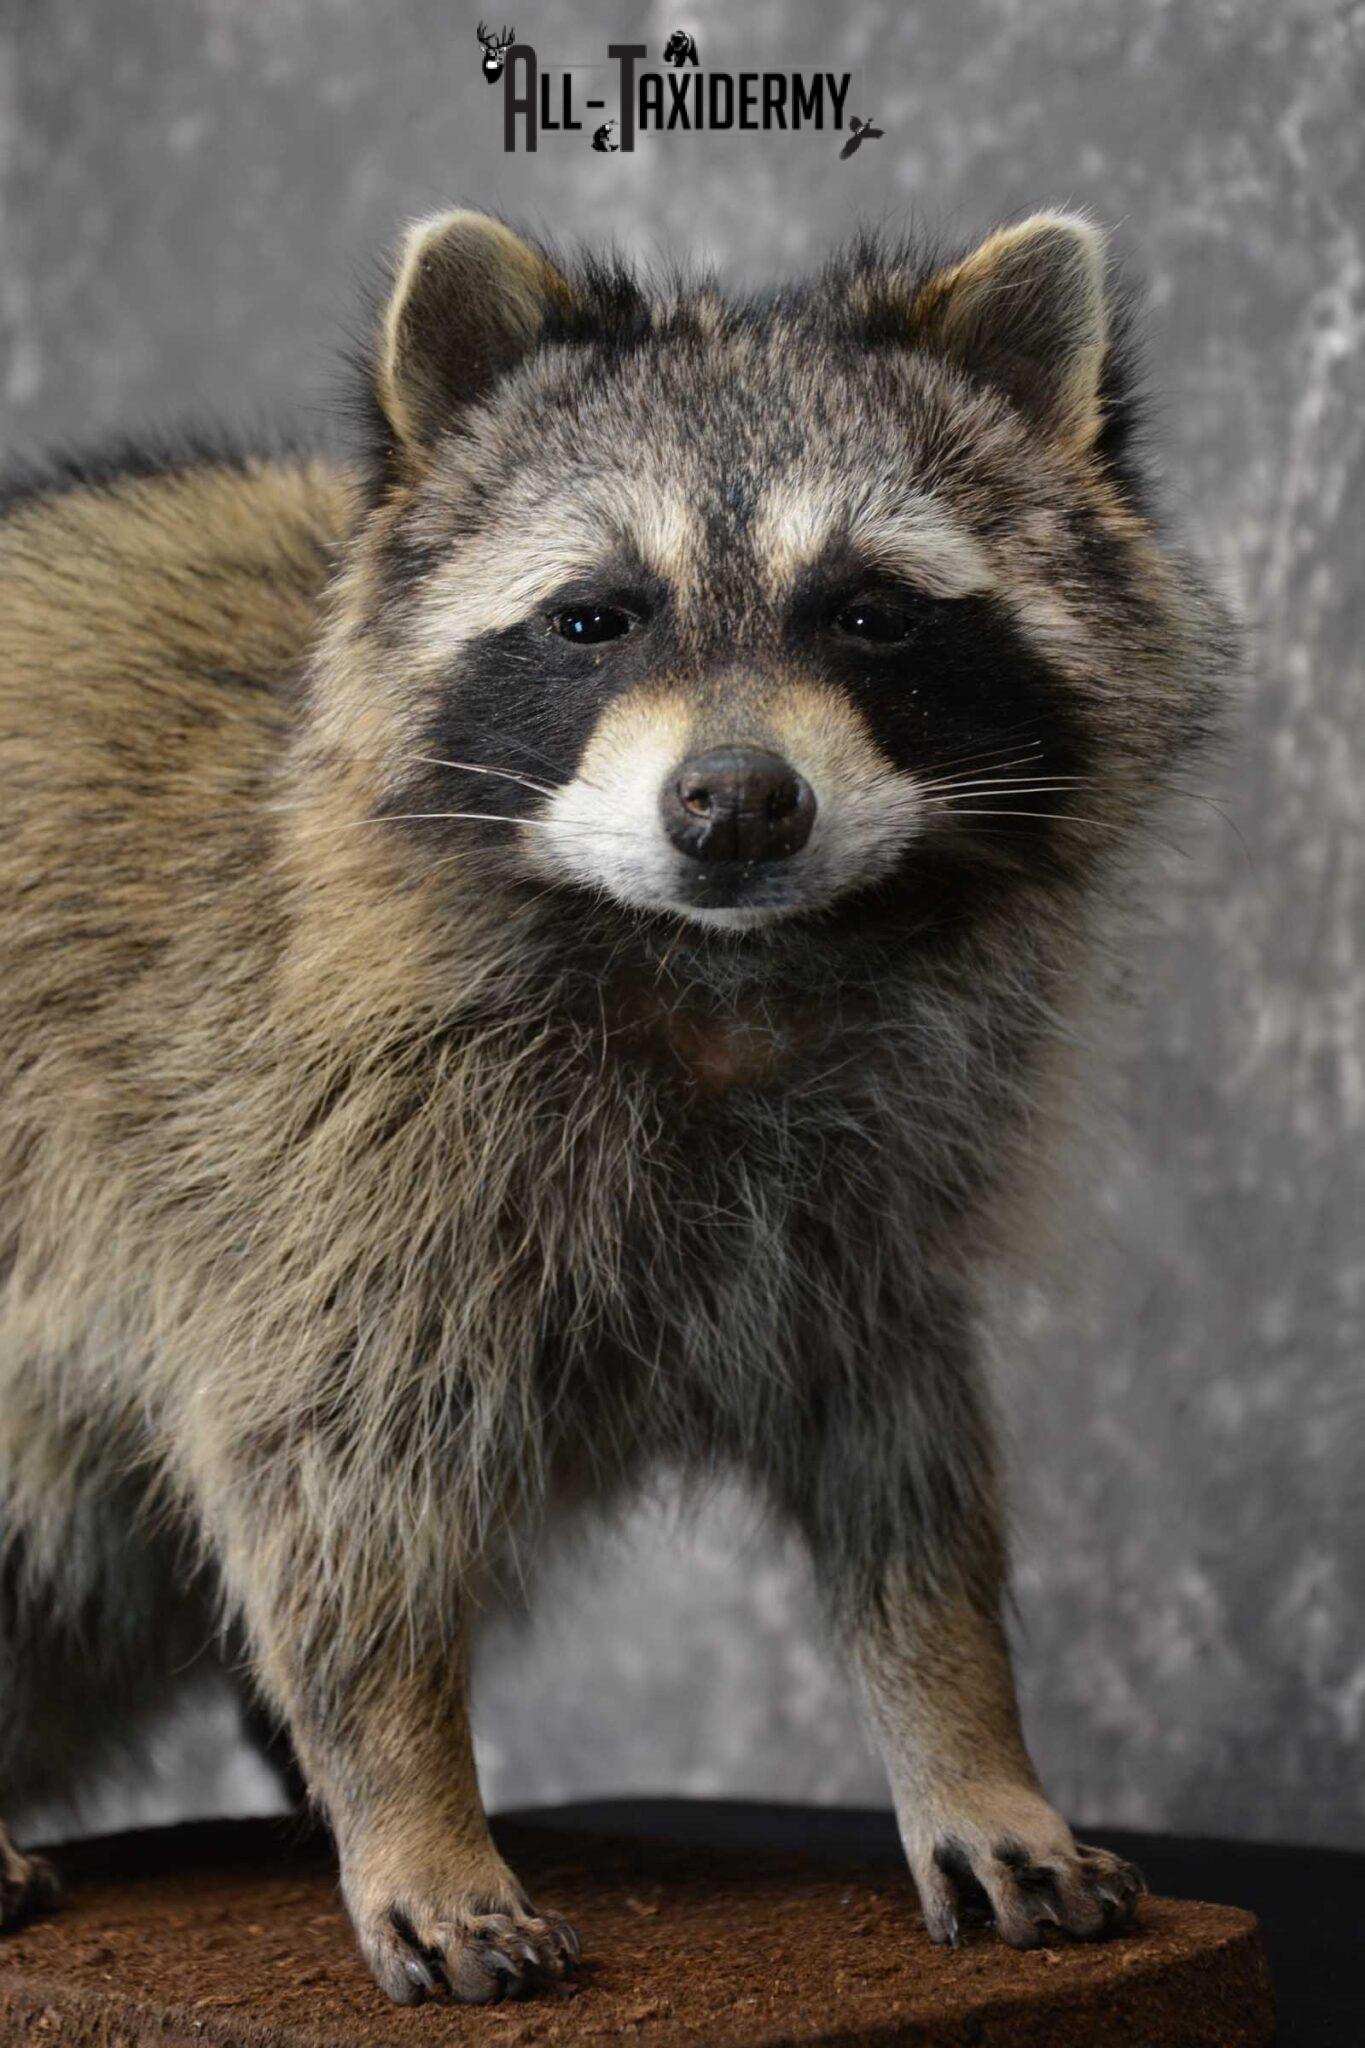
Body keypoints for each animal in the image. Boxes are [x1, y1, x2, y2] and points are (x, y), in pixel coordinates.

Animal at [0, 209, 1228, 2004]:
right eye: (595, 618)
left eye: (869, 614)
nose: (735, 802)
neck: (722, 962)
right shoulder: (297, 1157)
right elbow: (322, 1486)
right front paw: (409, 1799)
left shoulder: (871, 1190)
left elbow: (904, 1465)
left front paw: (968, 1739)